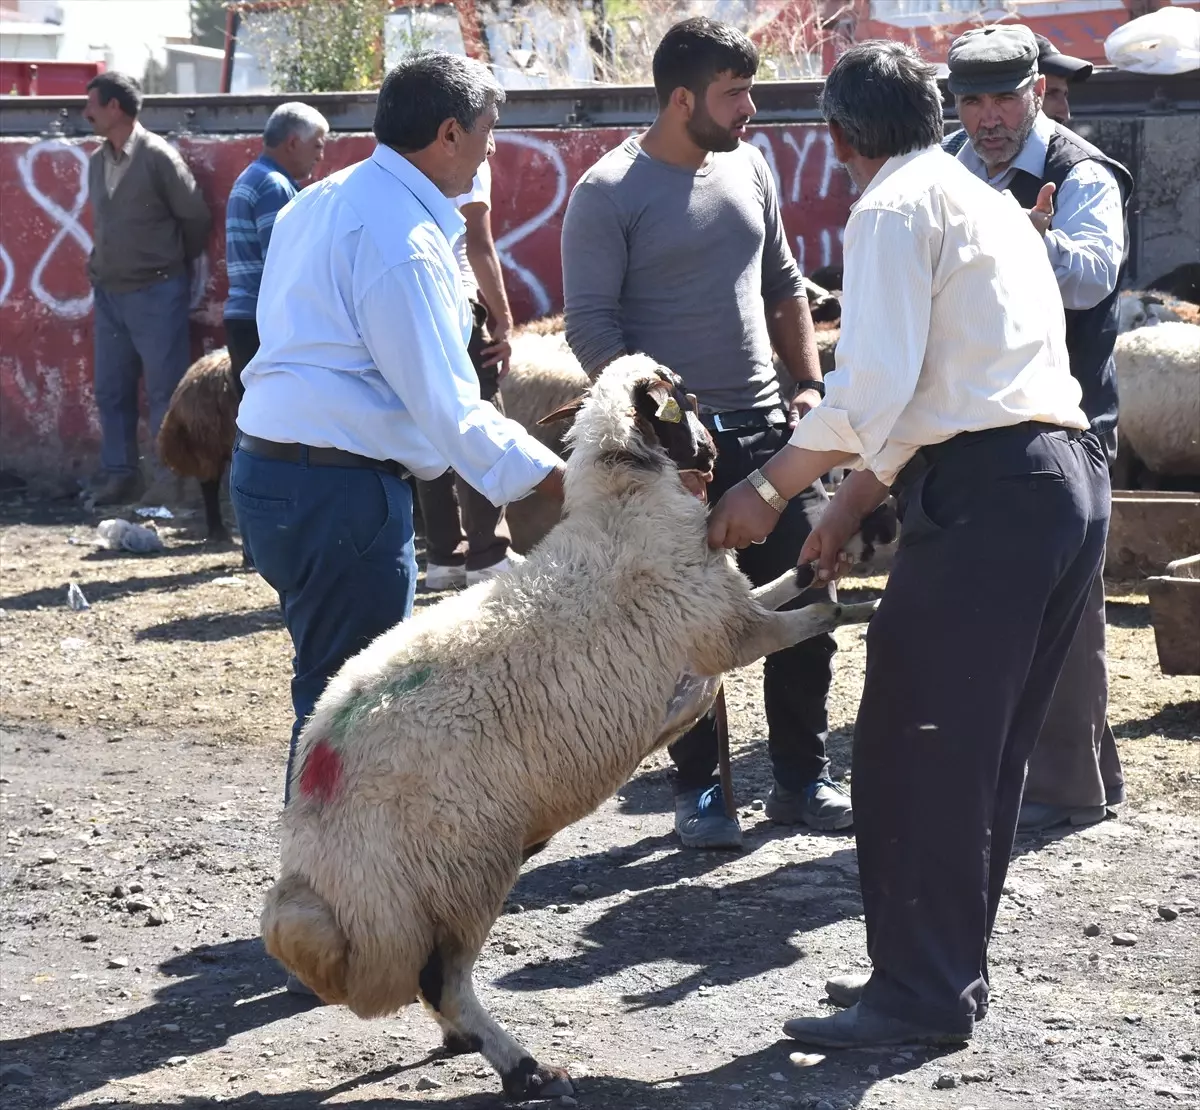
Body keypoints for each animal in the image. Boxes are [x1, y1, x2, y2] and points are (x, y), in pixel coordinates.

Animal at [262, 355, 878, 1099]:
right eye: (687, 400)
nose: (722, 449)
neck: (624, 502)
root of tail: (318, 781)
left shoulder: (727, 609)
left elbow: (794, 580)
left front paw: (839, 554)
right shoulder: (729, 632)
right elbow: (810, 614)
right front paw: (861, 602)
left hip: (426, 887)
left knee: (429, 977)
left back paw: (469, 1046)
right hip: (462, 866)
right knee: (444, 979)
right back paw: (525, 1068)